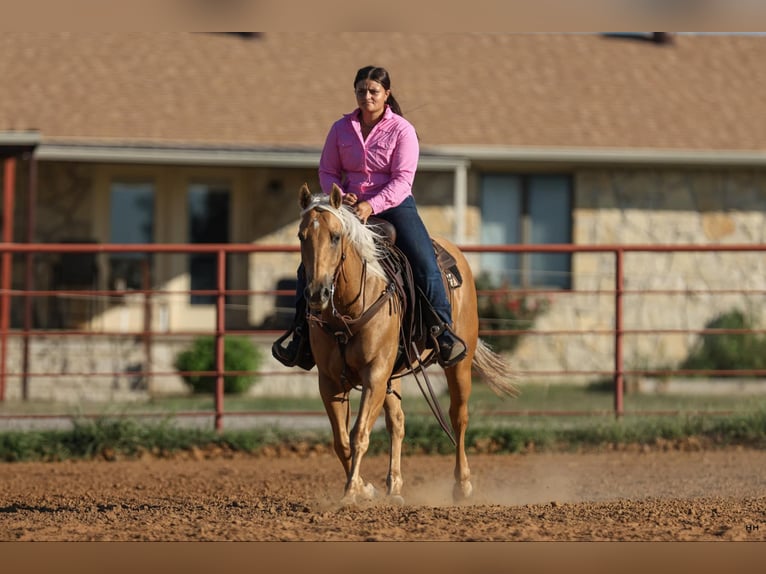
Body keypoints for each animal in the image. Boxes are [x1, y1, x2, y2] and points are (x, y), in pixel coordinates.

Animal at [297, 182, 517, 505]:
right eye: (302, 236)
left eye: (336, 236)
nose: (318, 293)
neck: (350, 308)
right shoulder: (330, 382)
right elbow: (342, 441)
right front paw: (364, 488)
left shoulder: (375, 374)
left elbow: (359, 434)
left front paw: (351, 493)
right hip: (393, 374)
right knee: (397, 423)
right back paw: (395, 487)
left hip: (459, 365)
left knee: (458, 416)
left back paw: (462, 484)